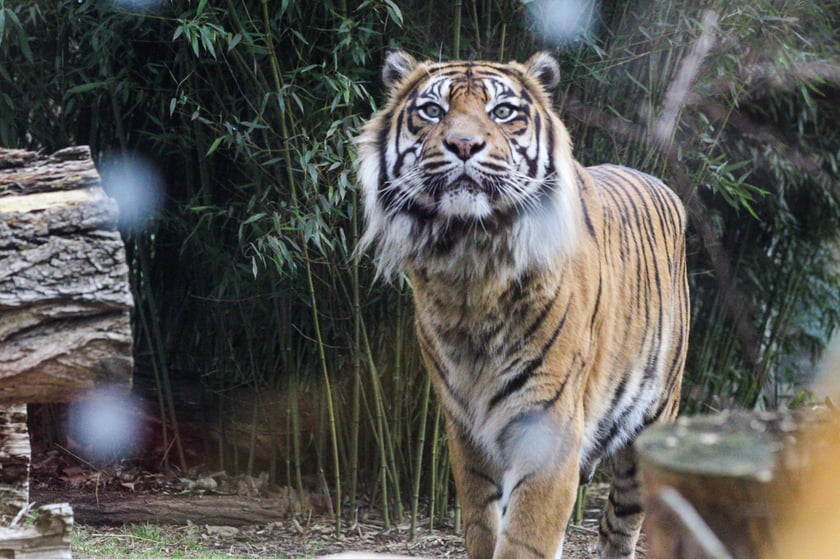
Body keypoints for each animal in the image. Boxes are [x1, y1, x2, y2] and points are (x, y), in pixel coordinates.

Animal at [354, 51, 688, 559]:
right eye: (431, 111)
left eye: (503, 111)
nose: (463, 144)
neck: (471, 266)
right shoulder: (466, 428)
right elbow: (482, 524)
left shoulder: (548, 423)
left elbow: (527, 535)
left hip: (649, 426)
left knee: (620, 524)